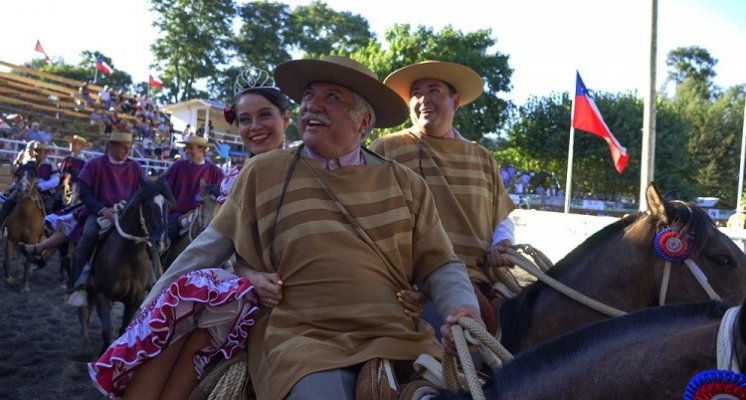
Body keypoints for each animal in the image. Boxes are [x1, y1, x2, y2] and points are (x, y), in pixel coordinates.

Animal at [2, 162, 44, 290]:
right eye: (19, 174)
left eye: (32, 175)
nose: (22, 190)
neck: (25, 216)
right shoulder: (11, 238)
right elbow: (7, 260)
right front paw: (10, 280)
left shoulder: (31, 241)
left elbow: (27, 261)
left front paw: (25, 286)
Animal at [77, 177, 174, 354]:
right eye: (148, 206)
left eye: (168, 206)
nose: (163, 242)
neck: (128, 258)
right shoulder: (103, 295)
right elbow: (108, 331)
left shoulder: (135, 299)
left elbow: (123, 330)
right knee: (84, 311)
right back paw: (85, 343)